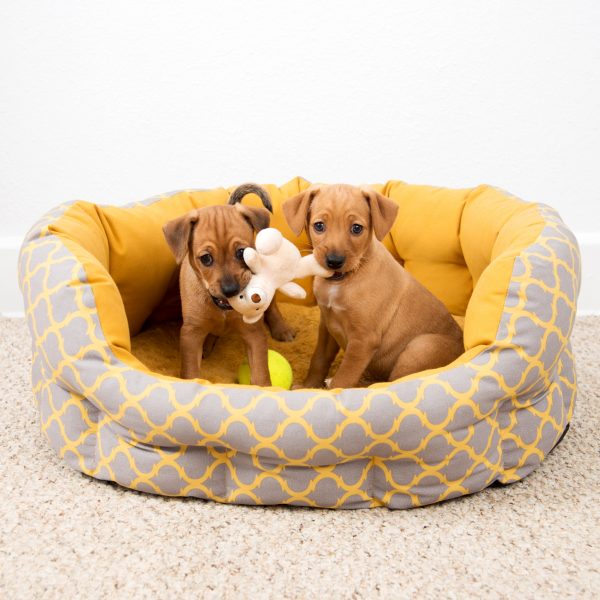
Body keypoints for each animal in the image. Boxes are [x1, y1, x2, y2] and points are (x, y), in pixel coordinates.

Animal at [163, 180, 294, 384]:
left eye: (241, 252)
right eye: (206, 258)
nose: (231, 290)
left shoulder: (254, 334)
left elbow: (261, 373)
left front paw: (267, 388)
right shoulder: (191, 334)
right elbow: (191, 371)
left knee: (272, 305)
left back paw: (282, 328)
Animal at [282, 184, 464, 390]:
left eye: (356, 228)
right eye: (319, 226)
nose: (334, 261)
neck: (342, 282)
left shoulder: (363, 340)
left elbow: (344, 377)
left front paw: (332, 392)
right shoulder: (327, 326)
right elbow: (319, 359)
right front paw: (309, 386)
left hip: (421, 347)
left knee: (395, 382)